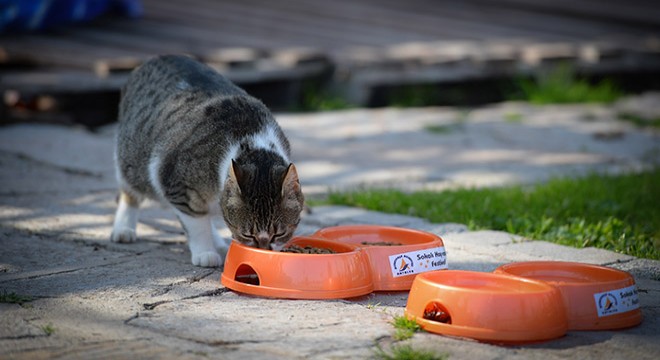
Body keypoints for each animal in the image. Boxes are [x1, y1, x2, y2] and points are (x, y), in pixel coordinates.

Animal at [110, 54, 304, 268]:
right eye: (248, 235)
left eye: (279, 234)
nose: (263, 251)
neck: (252, 141)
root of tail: (156, 58)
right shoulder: (178, 187)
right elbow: (196, 224)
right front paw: (205, 253)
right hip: (133, 163)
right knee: (129, 192)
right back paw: (123, 229)